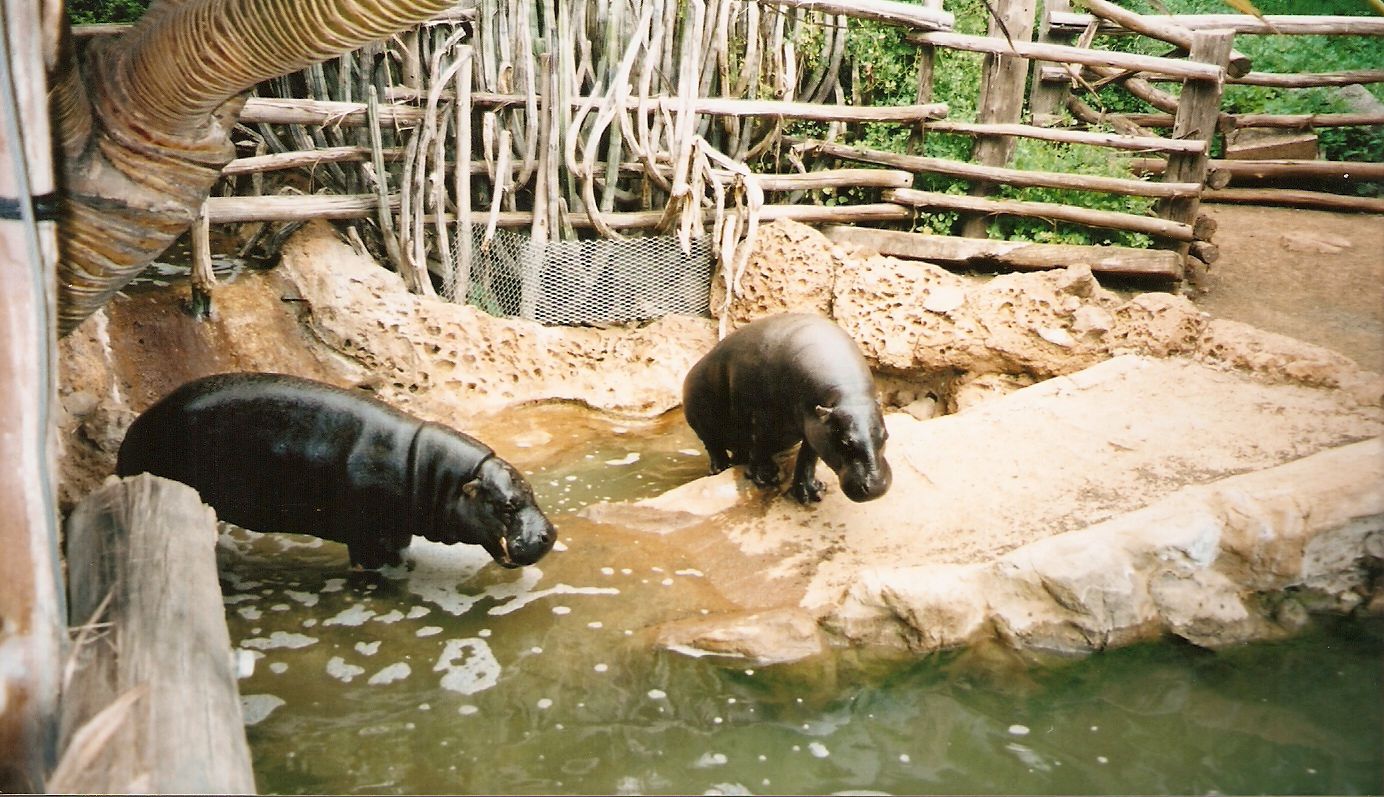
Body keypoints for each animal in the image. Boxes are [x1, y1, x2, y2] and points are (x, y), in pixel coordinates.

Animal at [116, 372, 556, 569]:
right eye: (507, 505)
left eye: (530, 491)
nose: (549, 534)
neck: (437, 475)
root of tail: (136, 428)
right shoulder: (371, 534)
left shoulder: (396, 530)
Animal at [682, 313, 892, 504]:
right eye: (845, 442)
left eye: (886, 436)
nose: (876, 488)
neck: (849, 395)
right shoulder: (761, 417)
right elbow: (760, 443)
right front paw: (766, 477)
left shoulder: (815, 425)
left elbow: (808, 457)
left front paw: (810, 493)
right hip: (702, 425)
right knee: (714, 447)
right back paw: (720, 468)